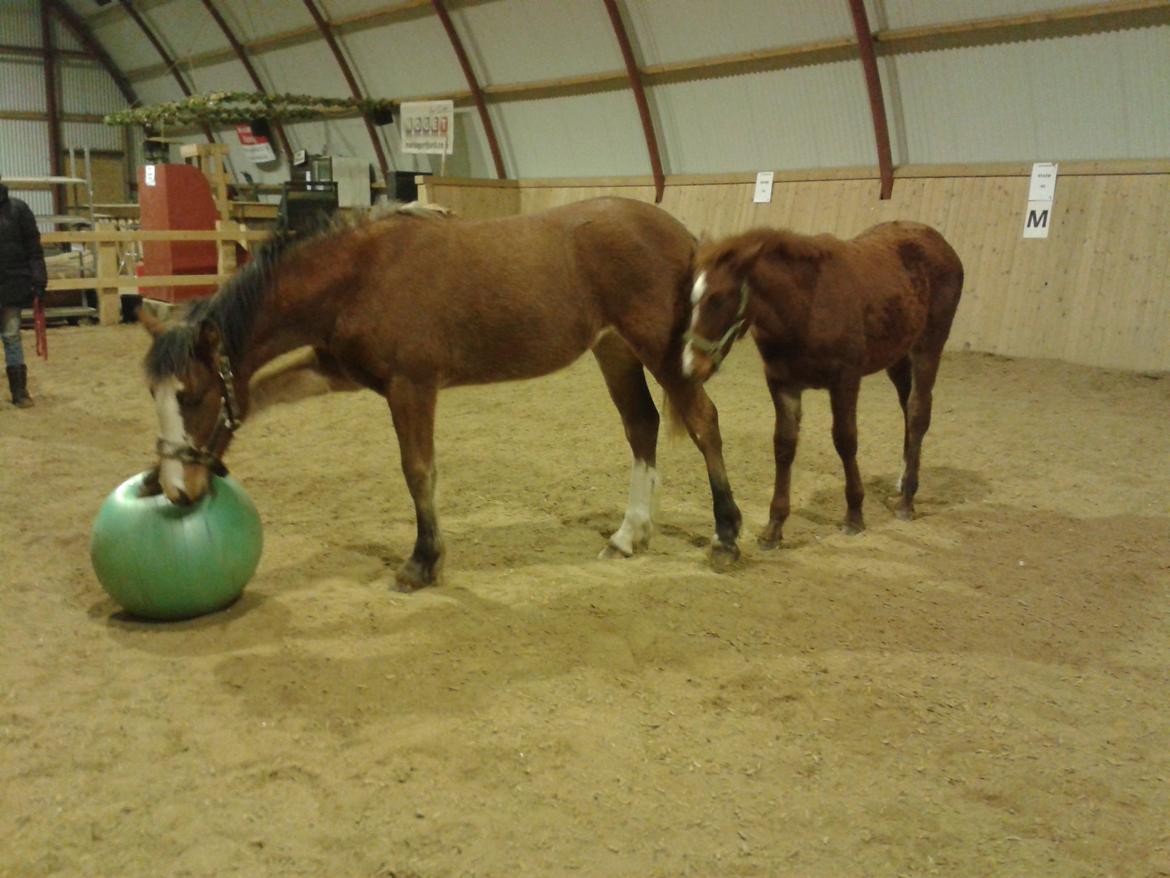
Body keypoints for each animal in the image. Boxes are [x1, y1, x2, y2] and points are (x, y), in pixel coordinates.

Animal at [683, 220, 959, 547]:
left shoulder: (845, 380)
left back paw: (907, 500)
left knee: (917, 413)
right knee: (907, 407)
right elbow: (784, 445)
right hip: (898, 356)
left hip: (927, 348)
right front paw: (774, 527)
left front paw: (854, 514)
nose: (690, 366)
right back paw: (902, 484)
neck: (804, 307)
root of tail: (940, 243)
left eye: (719, 298)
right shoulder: (782, 383)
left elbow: (845, 440)